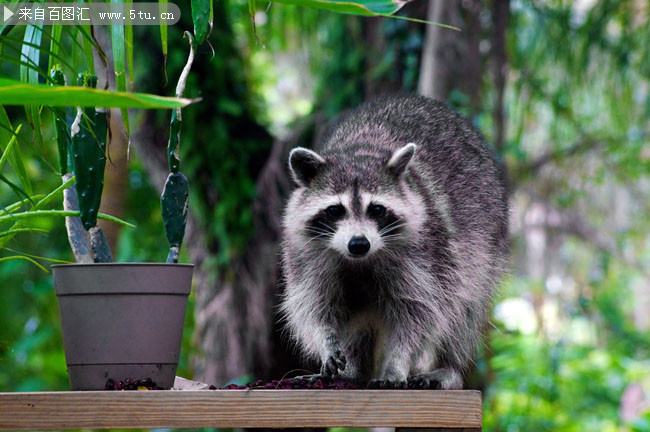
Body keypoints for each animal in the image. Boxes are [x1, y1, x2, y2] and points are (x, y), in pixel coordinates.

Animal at [278, 93, 506, 388]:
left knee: (464, 311)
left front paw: (397, 364)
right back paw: (355, 371)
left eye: (376, 209)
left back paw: (449, 366)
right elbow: (314, 306)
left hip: (484, 247)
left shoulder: (427, 255)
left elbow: (419, 313)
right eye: (334, 210)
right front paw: (326, 341)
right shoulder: (305, 257)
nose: (359, 244)